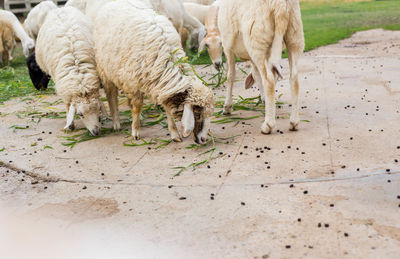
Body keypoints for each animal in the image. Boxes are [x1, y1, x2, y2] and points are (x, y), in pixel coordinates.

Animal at [35, 6, 102, 136]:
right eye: (80, 114)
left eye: (98, 109)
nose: (96, 132)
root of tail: (60, 8)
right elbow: (67, 103)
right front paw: (70, 125)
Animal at [94, 0, 214, 144]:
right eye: (197, 113)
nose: (203, 139)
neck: (169, 59)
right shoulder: (134, 84)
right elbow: (137, 107)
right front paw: (135, 131)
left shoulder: (161, 84)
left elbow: (167, 109)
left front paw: (174, 133)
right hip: (105, 69)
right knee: (111, 95)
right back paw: (116, 122)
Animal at [217, 0, 304, 134]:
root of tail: (280, 5)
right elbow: (258, 75)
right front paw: (265, 100)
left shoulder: (227, 45)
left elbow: (230, 76)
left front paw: (227, 107)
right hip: (294, 35)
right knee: (294, 78)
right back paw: (294, 123)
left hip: (257, 37)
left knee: (268, 80)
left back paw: (268, 125)